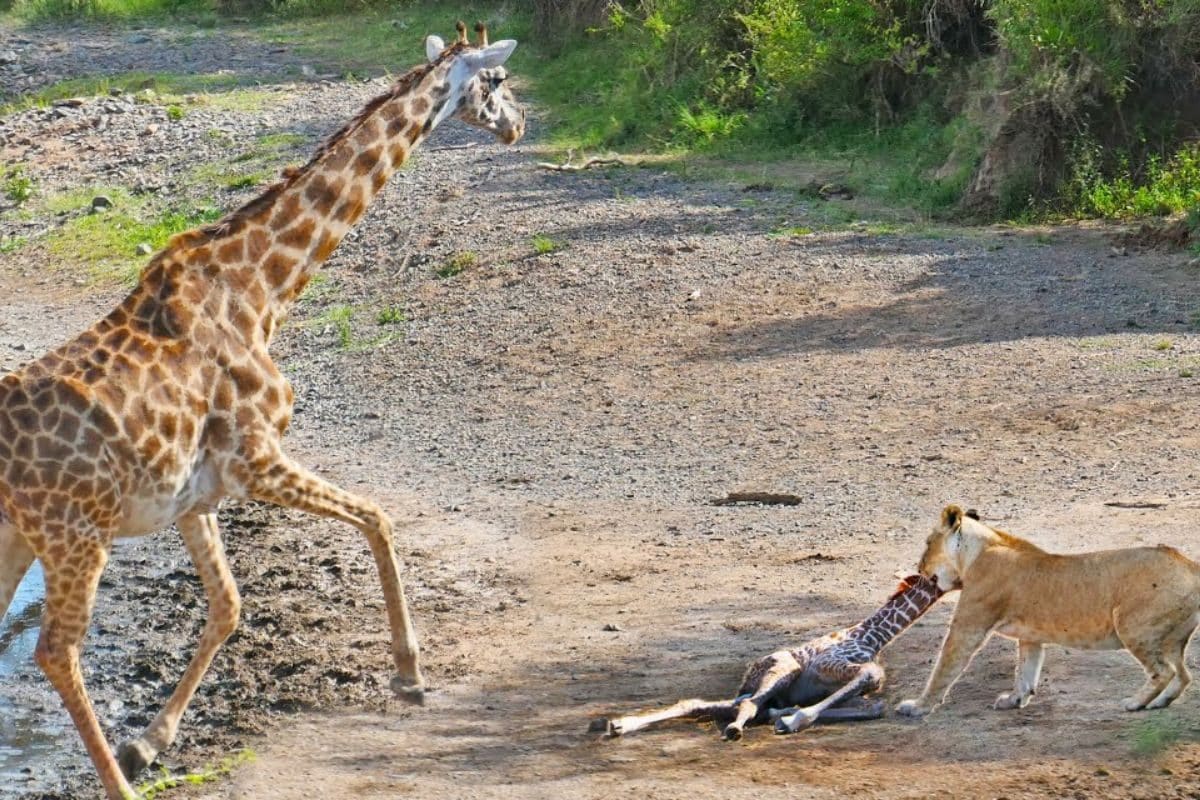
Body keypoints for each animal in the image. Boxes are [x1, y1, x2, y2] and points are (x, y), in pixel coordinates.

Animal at [0, 22, 523, 800]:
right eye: (496, 82)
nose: (519, 124)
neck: (263, 289)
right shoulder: (258, 460)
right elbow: (378, 517)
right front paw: (409, 673)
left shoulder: (196, 496)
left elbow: (229, 605)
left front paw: (149, 742)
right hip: (74, 536)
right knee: (55, 651)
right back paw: (119, 789)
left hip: (20, 535)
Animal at [594, 574, 943, 739]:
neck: (876, 634)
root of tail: (748, 675)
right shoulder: (833, 663)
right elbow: (869, 674)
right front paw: (793, 719)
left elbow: (876, 705)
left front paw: (789, 715)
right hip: (782, 669)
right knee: (746, 705)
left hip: (765, 686)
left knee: (710, 704)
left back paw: (619, 725)